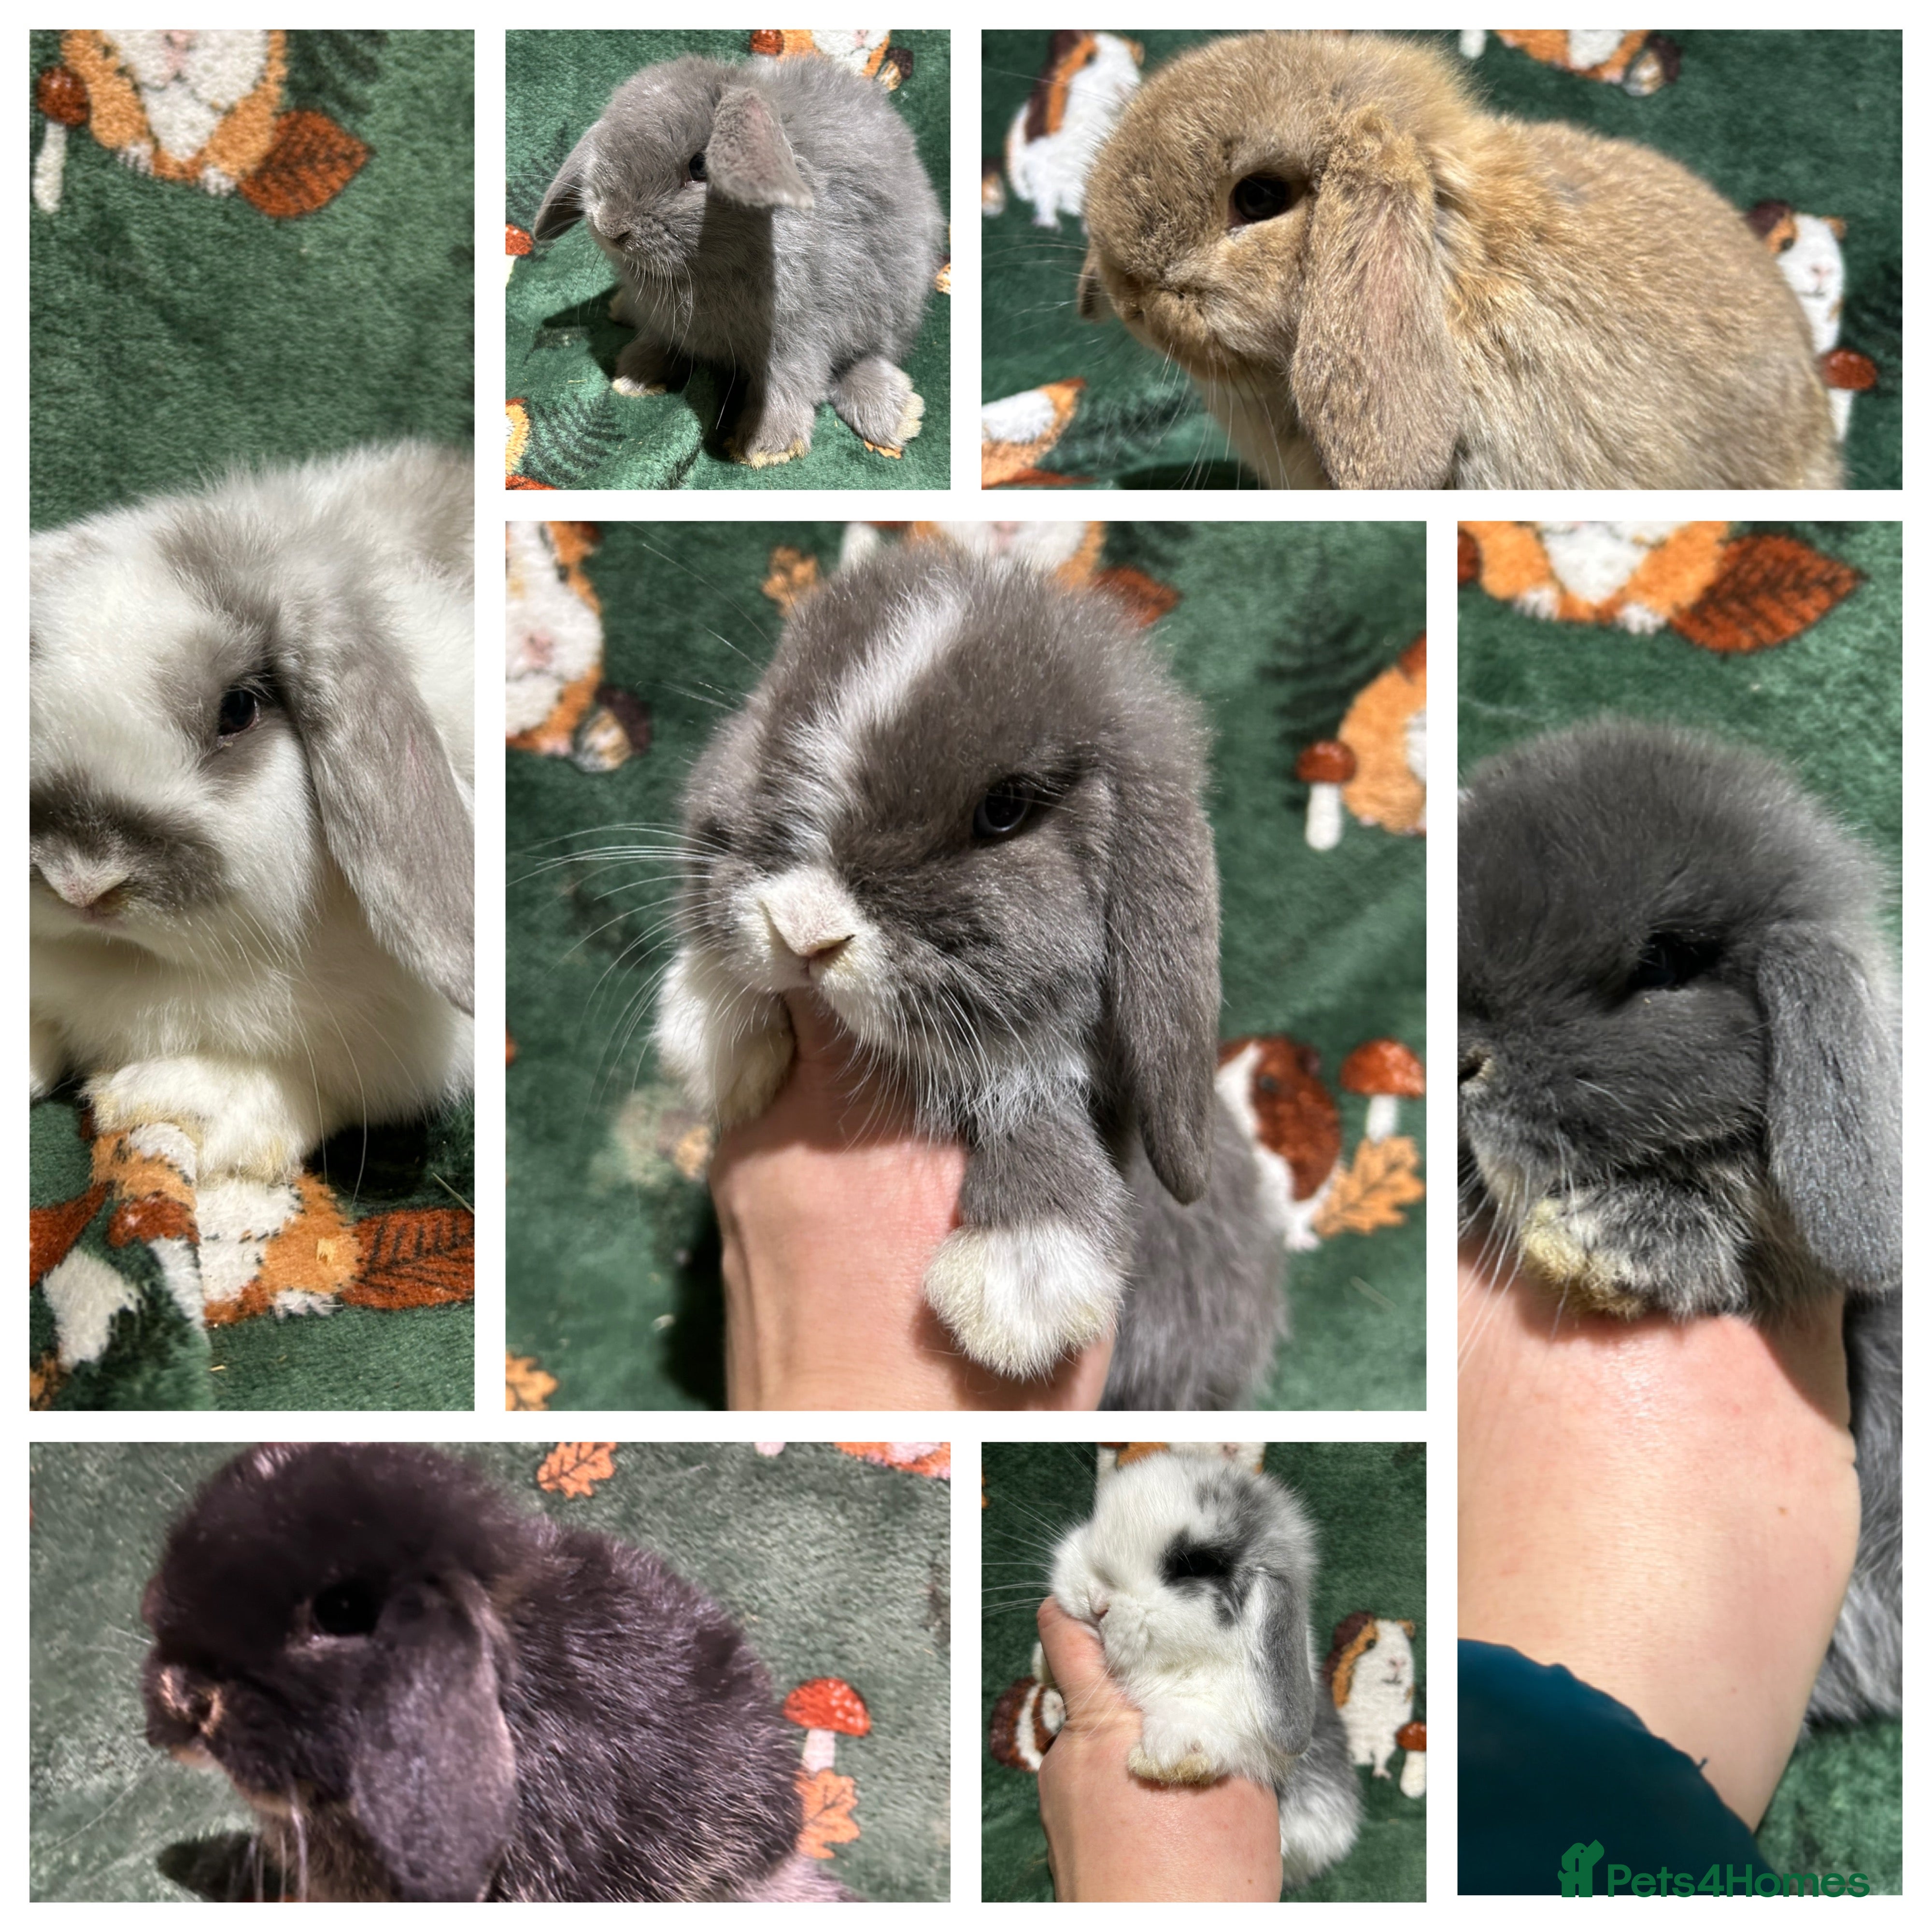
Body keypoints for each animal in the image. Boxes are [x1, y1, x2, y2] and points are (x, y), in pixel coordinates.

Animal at [533, 54, 943, 468]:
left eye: (700, 166)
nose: (610, 227)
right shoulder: (665, 325)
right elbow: (658, 342)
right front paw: (635, 377)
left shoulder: (800, 336)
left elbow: (787, 383)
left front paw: (766, 446)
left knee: (864, 357)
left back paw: (895, 416)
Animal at [650, 544, 1285, 1406]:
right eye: (773, 729)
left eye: (1004, 809)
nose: (806, 928)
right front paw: (712, 1030)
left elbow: (1037, 1099)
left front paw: (1020, 1286)